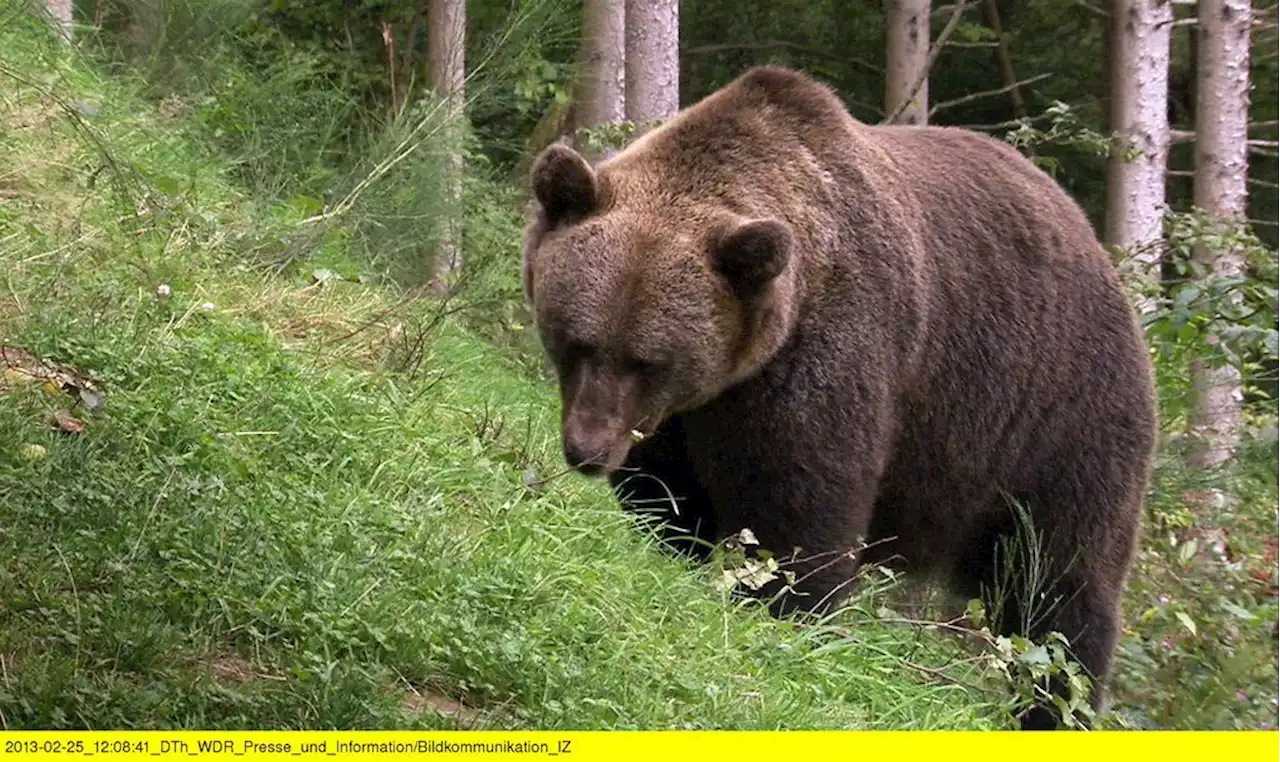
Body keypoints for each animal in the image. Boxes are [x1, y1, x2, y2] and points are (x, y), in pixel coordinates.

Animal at [519, 67, 1162, 732]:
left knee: (1057, 583)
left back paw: (1056, 703)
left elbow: (798, 508)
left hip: (1057, 414)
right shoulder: (676, 419)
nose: (588, 449)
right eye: (578, 342)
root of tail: (1098, 249)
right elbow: (667, 499)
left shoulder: (828, 353)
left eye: (647, 360)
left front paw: (785, 611)